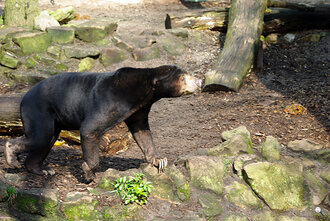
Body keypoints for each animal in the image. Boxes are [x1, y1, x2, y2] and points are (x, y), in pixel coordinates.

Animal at [4, 64, 201, 181]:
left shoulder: (139, 110)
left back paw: (43, 170)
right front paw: (89, 172)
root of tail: (24, 96)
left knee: (47, 140)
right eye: (183, 78)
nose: (199, 81)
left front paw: (159, 160)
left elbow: (142, 132)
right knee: (40, 136)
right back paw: (12, 159)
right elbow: (90, 128)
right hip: (39, 110)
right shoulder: (110, 101)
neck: (143, 93)